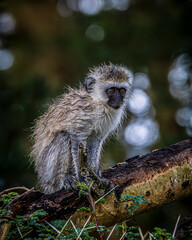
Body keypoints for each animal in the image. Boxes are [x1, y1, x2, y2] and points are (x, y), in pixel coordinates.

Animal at [31, 63, 134, 193]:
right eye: (111, 90)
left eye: (122, 91)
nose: (119, 100)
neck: (99, 103)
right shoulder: (83, 116)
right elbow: (77, 138)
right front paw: (80, 177)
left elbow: (95, 141)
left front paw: (95, 174)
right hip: (47, 172)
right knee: (63, 136)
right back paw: (63, 180)